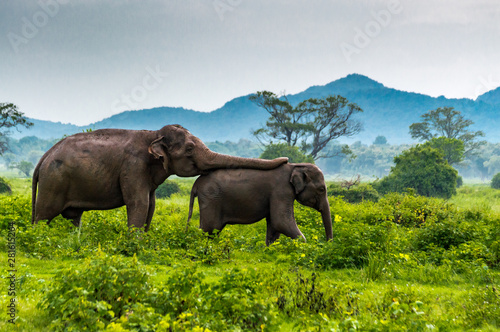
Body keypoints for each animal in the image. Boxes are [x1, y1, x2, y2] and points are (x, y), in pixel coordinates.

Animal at [32, 123, 290, 230]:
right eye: (189, 149)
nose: (286, 160)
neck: (153, 133)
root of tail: (43, 158)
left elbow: (151, 205)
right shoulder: (133, 167)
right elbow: (139, 203)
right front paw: (134, 243)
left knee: (73, 217)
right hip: (53, 182)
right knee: (44, 215)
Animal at [187, 162, 332, 245]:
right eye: (321, 189)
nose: (328, 243)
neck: (296, 166)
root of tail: (196, 183)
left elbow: (274, 224)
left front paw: (270, 249)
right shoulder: (281, 190)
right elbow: (281, 221)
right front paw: (304, 247)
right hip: (211, 199)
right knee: (209, 229)